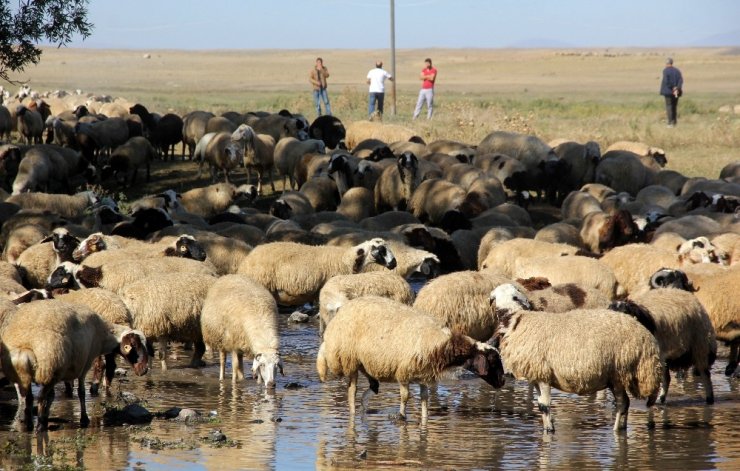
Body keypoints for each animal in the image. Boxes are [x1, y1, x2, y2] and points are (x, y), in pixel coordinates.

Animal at [0, 302, 149, 432]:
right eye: (134, 346)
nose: (144, 370)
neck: (105, 337)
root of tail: (25, 345)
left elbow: (52, 397)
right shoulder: (85, 364)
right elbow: (81, 392)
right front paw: (84, 419)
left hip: (28, 374)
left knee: (29, 399)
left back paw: (30, 426)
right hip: (51, 369)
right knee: (41, 398)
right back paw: (40, 427)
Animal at [316, 296, 506, 422]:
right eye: (493, 361)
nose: (503, 382)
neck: (443, 344)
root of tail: (335, 320)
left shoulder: (423, 374)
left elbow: (424, 398)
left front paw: (425, 418)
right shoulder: (404, 373)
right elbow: (405, 397)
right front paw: (401, 416)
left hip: (366, 362)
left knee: (373, 385)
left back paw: (365, 402)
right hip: (349, 359)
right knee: (352, 390)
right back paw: (354, 412)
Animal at [492, 282, 660, 434]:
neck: (515, 318)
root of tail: (646, 337)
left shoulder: (543, 375)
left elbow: (545, 406)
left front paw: (549, 430)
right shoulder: (536, 375)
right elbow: (540, 405)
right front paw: (547, 427)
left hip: (621, 369)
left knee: (622, 403)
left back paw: (616, 429)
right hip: (615, 376)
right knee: (625, 403)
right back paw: (623, 427)